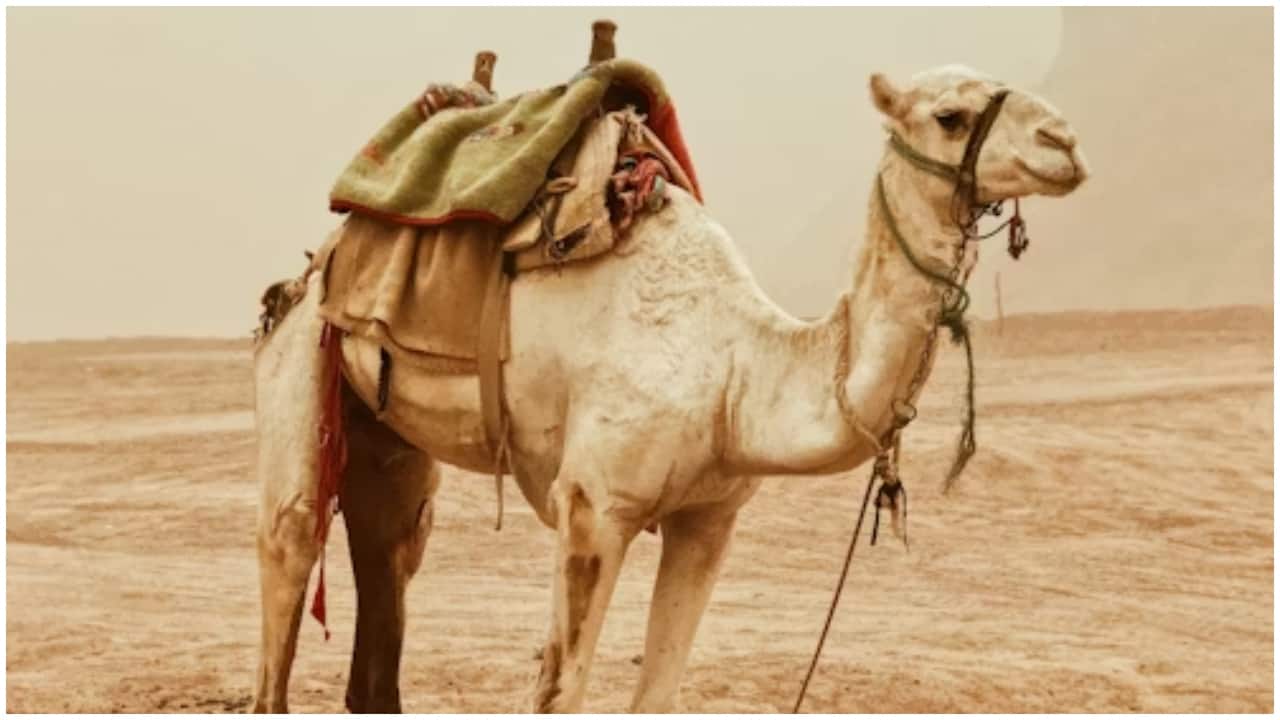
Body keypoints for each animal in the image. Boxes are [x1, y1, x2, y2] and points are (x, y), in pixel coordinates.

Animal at [250, 64, 1088, 713]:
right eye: (951, 116)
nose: (1066, 143)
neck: (737, 370)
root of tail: (315, 261)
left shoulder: (709, 517)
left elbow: (659, 689)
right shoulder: (594, 506)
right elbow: (561, 691)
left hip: (385, 433)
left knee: (391, 545)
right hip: (302, 358)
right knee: (291, 544)